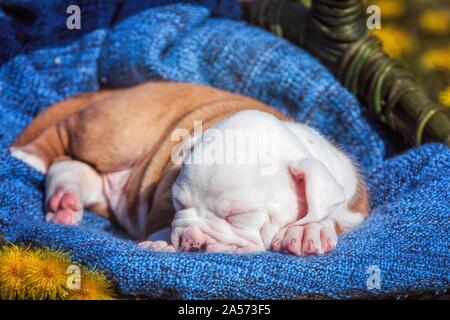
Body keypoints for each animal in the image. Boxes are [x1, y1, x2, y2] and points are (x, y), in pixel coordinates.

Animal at [11, 82, 370, 255]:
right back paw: (26, 156)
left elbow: (329, 217)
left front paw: (309, 230)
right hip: (117, 132)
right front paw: (161, 243)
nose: (192, 241)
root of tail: (124, 89)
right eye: (179, 204)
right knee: (63, 138)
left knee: (74, 169)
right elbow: (159, 226)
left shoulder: (352, 209)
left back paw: (64, 201)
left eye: (239, 217)